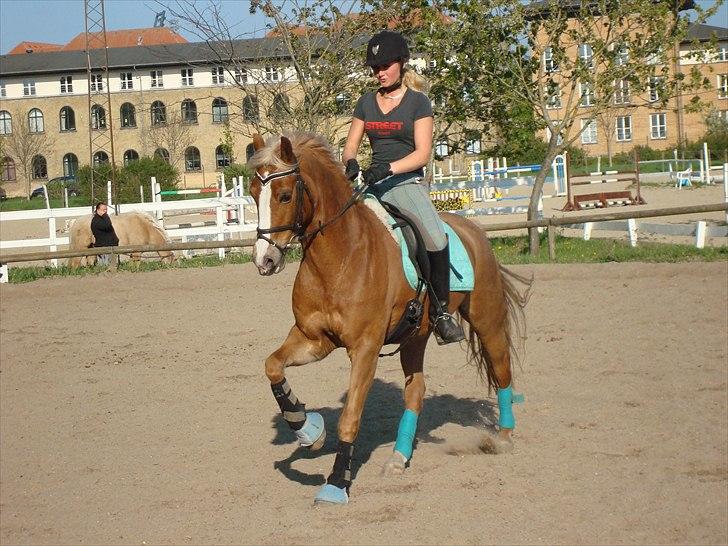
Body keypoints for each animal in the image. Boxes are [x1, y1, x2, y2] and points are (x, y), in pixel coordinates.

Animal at [247, 130, 528, 504]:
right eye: (252, 193)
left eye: (285, 195)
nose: (264, 260)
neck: (339, 257)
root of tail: (472, 228)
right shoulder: (313, 339)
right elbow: (272, 366)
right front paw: (308, 429)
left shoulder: (365, 348)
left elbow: (350, 417)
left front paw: (336, 483)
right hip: (415, 337)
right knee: (416, 392)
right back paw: (398, 457)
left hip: (487, 319)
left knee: (501, 369)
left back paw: (504, 437)